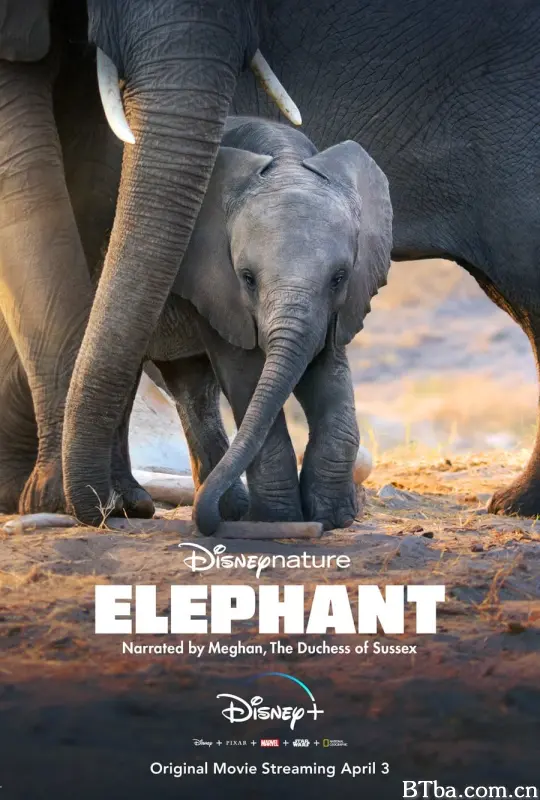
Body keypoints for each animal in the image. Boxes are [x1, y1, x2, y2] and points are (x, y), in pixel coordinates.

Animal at [4, 1, 540, 523]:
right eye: (247, 279)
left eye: (340, 278)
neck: (282, 159)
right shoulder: (220, 289)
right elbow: (247, 374)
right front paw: (281, 516)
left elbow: (327, 370)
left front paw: (332, 515)